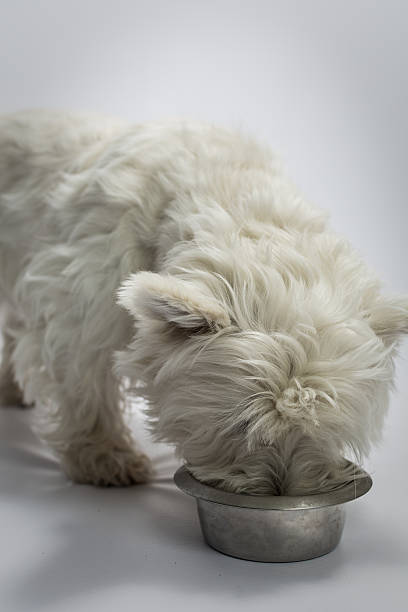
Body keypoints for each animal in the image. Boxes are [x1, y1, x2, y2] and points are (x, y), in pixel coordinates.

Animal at [0, 109, 406, 492]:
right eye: (242, 423)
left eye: (322, 427)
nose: (279, 490)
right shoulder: (79, 307)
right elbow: (86, 384)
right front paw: (104, 458)